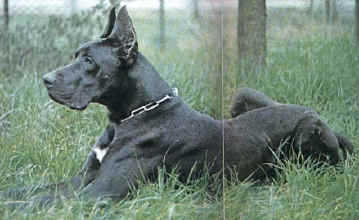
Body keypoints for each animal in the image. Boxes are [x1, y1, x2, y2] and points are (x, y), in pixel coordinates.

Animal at [0, 6, 354, 206]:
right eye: (76, 54)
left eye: (89, 61)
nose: (45, 79)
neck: (130, 116)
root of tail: (329, 125)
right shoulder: (82, 180)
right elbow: (26, 191)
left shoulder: (98, 192)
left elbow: (36, 203)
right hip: (242, 95)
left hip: (307, 131)